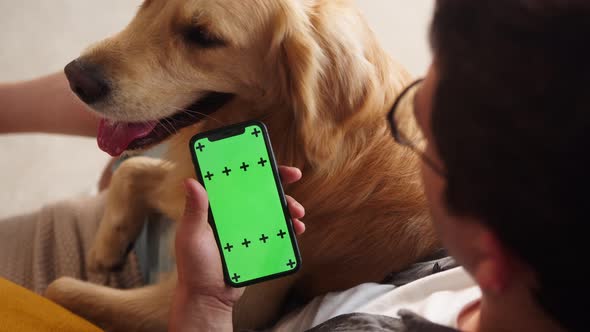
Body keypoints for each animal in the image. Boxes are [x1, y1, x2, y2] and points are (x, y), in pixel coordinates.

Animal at [45, 0, 440, 330]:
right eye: (146, 3)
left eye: (203, 37)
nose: (75, 77)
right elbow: (132, 169)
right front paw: (107, 246)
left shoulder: (226, 307)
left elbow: (58, 287)